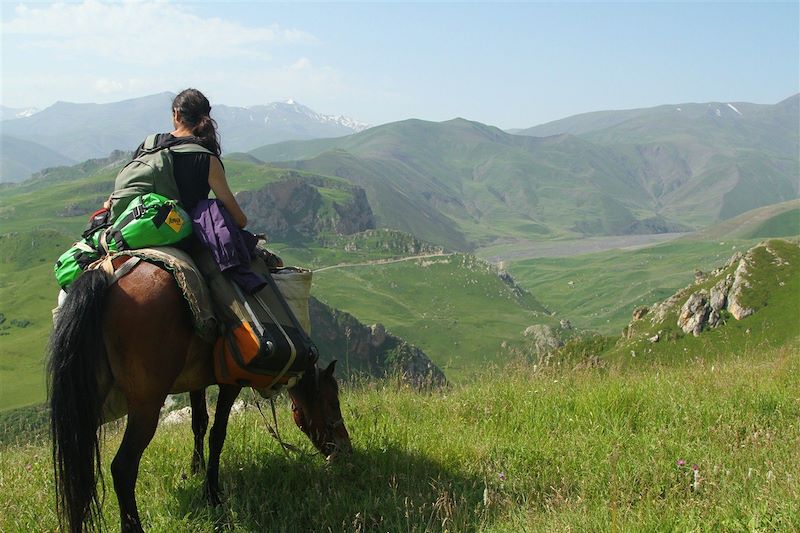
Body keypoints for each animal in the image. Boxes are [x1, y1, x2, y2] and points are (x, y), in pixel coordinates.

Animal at [47, 256, 350, 528]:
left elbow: (199, 423)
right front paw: (212, 493)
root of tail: (107, 276)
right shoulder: (231, 382)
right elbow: (217, 434)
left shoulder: (195, 380)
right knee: (122, 467)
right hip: (145, 405)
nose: (344, 449)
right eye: (332, 402)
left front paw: (196, 469)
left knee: (79, 469)